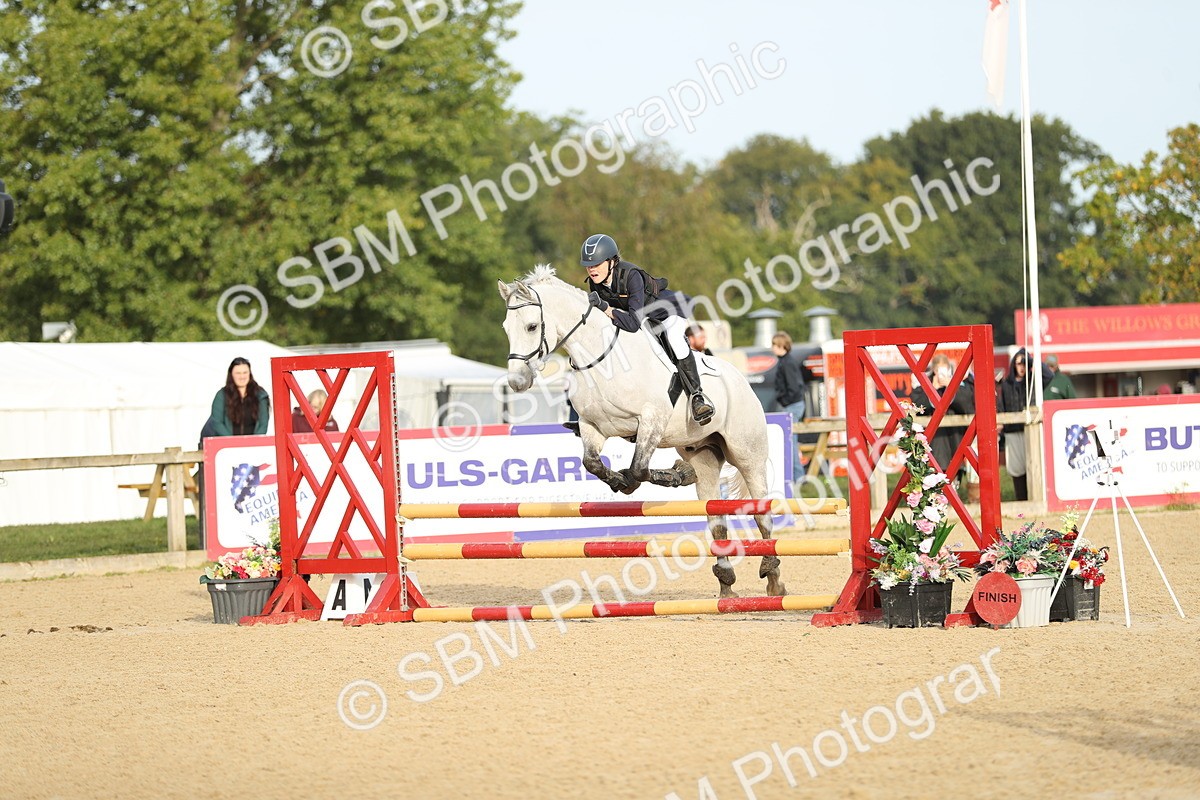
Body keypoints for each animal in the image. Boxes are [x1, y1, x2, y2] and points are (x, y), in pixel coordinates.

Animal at [497, 264, 786, 597]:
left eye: (532, 326)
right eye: (506, 328)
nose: (517, 382)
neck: (600, 359)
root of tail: (741, 380)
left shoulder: (651, 420)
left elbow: (638, 468)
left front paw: (654, 478)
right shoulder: (592, 427)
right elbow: (593, 463)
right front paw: (626, 480)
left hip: (747, 452)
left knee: (761, 509)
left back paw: (772, 575)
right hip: (702, 452)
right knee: (715, 515)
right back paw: (726, 581)